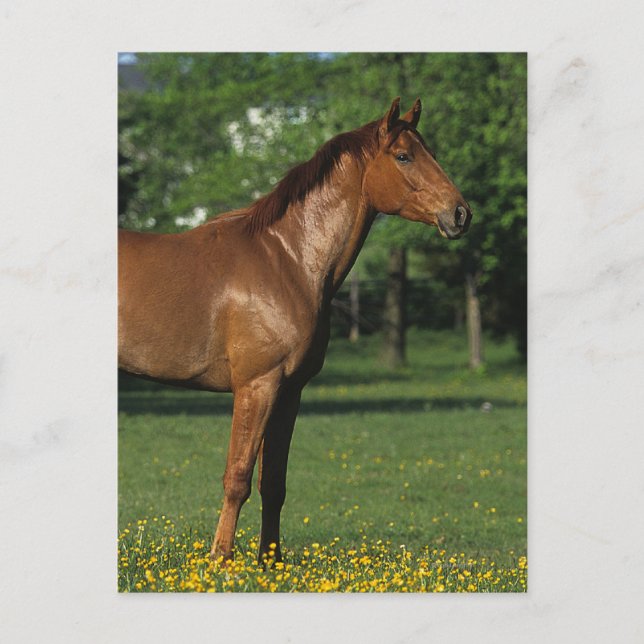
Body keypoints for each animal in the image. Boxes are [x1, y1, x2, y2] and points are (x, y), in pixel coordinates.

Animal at [118, 98, 472, 563]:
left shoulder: (289, 392)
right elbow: (238, 478)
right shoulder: (257, 386)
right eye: (403, 156)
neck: (287, 260)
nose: (460, 213)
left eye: (428, 150)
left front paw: (270, 564)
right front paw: (220, 561)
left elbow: (274, 484)